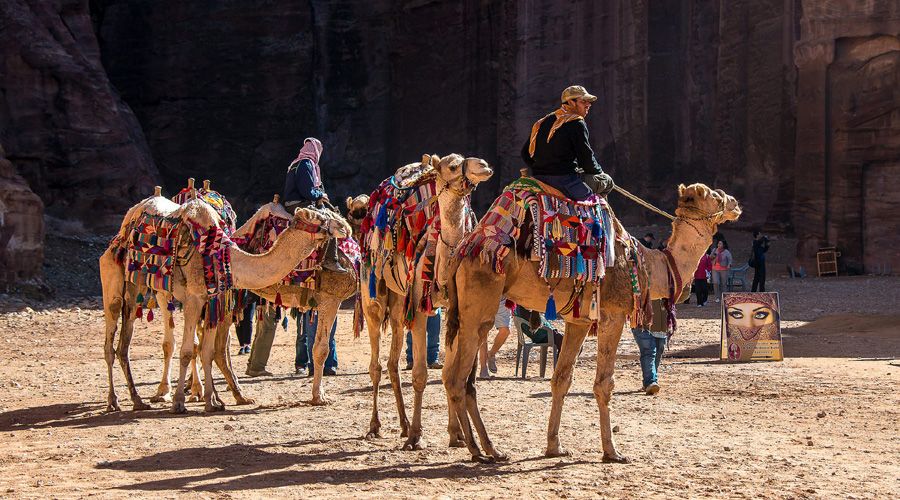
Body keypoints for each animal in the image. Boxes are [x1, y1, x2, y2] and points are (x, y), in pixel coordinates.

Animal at [101, 193, 348, 412]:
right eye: (320, 218)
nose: (344, 227)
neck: (224, 256)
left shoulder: (212, 301)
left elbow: (207, 351)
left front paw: (212, 402)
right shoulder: (194, 299)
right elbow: (188, 350)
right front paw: (179, 402)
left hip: (136, 289)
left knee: (124, 345)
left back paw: (138, 400)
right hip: (113, 278)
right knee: (111, 342)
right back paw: (115, 401)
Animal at [362, 152, 496, 450]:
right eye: (453, 166)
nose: (483, 165)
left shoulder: (451, 311)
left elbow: (447, 375)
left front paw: (456, 435)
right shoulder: (421, 311)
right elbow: (421, 375)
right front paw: (416, 436)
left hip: (399, 303)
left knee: (392, 361)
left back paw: (401, 425)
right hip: (373, 297)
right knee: (376, 364)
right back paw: (376, 426)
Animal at [442, 182, 740, 462]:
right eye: (715, 195)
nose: (735, 203)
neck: (649, 265)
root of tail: (462, 253)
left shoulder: (579, 321)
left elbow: (561, 379)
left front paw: (555, 447)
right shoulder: (612, 315)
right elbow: (604, 384)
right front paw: (612, 451)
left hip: (463, 315)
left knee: (457, 378)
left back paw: (489, 448)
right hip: (480, 304)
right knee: (458, 379)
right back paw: (477, 450)